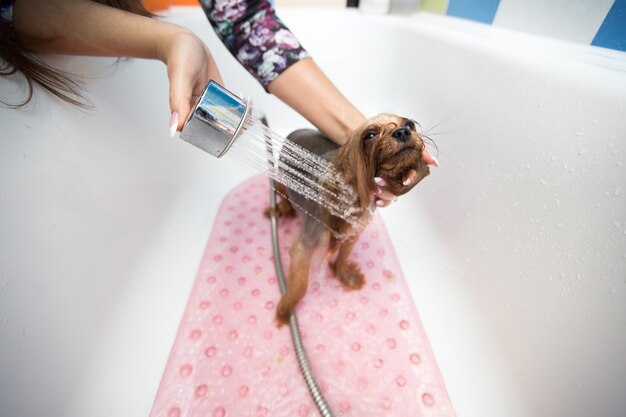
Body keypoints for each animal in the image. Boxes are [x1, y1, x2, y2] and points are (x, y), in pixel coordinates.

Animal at [270, 113, 436, 324]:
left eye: (410, 124)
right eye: (370, 134)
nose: (402, 132)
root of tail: (295, 130)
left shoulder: (354, 234)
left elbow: (343, 257)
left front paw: (345, 275)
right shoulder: (305, 245)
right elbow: (300, 285)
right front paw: (285, 312)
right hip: (281, 175)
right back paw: (283, 207)